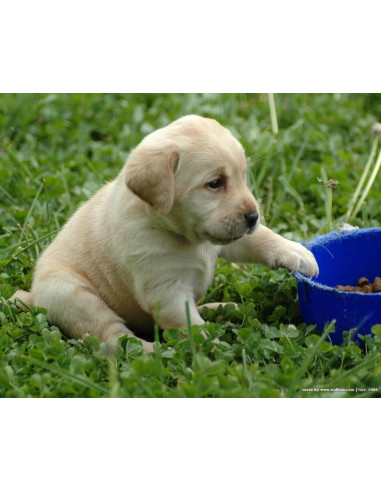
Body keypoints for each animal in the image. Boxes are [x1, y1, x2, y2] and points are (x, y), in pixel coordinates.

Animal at [10, 115, 316, 354]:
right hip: (70, 293)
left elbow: (260, 238)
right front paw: (213, 349)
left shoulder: (227, 239)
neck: (183, 235)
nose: (253, 216)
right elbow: (191, 327)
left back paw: (221, 307)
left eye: (243, 176)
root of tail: (33, 297)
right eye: (214, 184)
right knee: (113, 339)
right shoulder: (165, 289)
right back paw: (150, 351)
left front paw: (298, 254)